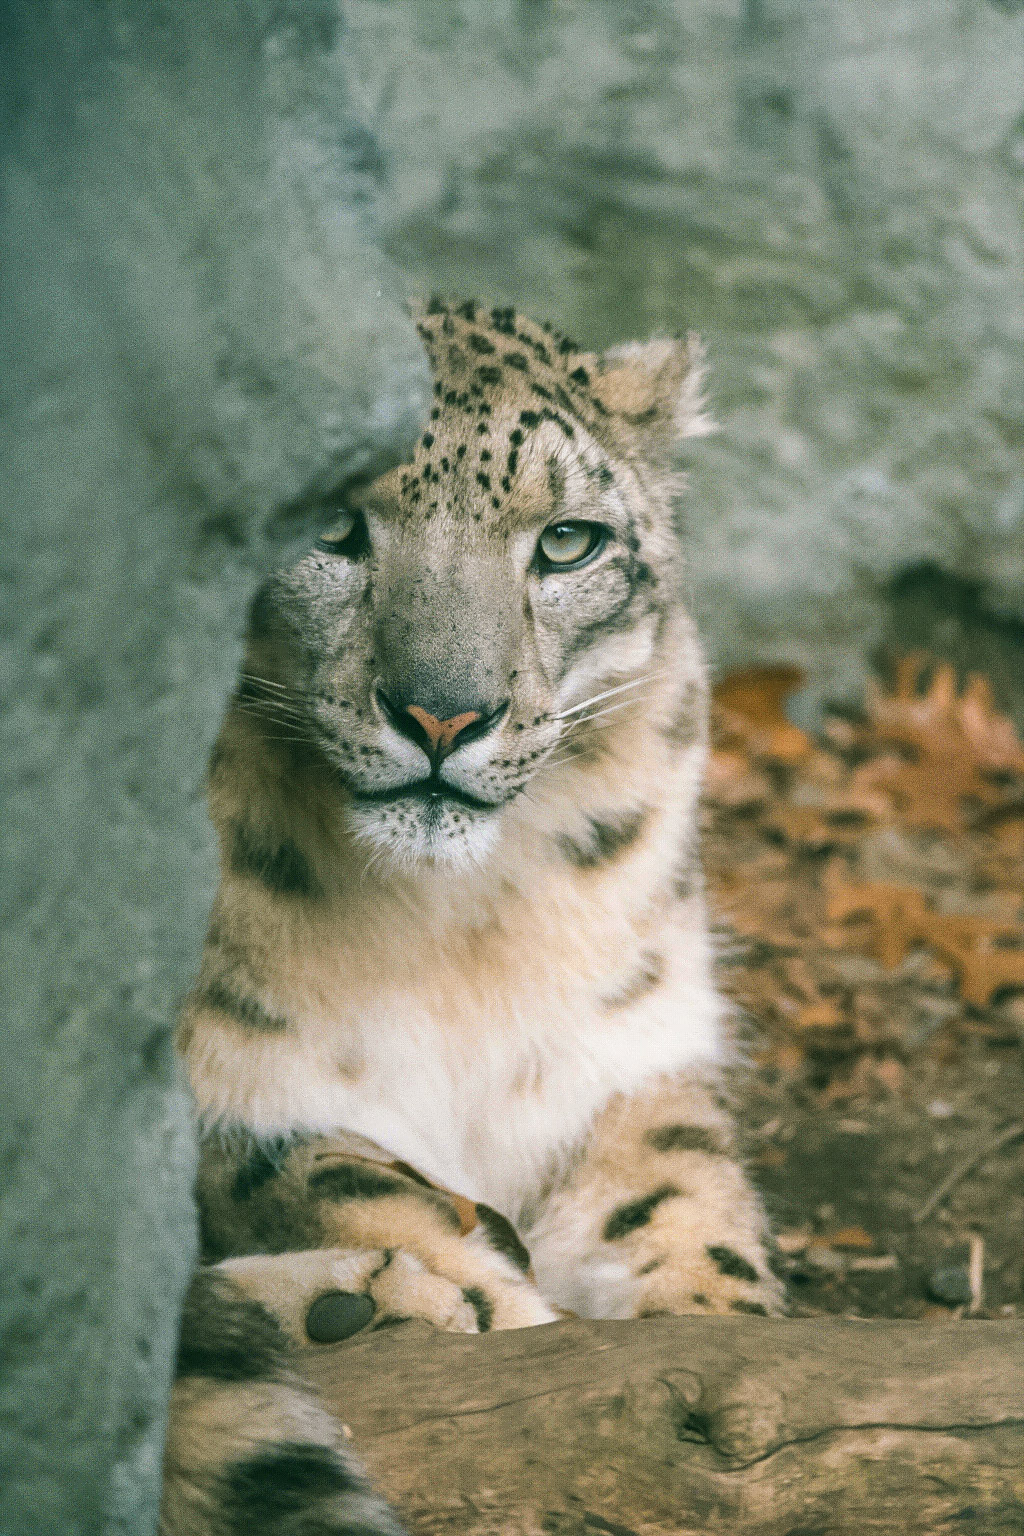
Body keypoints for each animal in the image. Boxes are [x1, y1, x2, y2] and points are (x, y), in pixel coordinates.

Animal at [160, 300, 784, 1536]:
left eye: (567, 542)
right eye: (332, 525)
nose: (444, 713)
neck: (451, 933)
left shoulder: (620, 1064)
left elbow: (685, 1208)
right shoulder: (221, 1076)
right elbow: (318, 1167)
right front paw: (481, 1298)